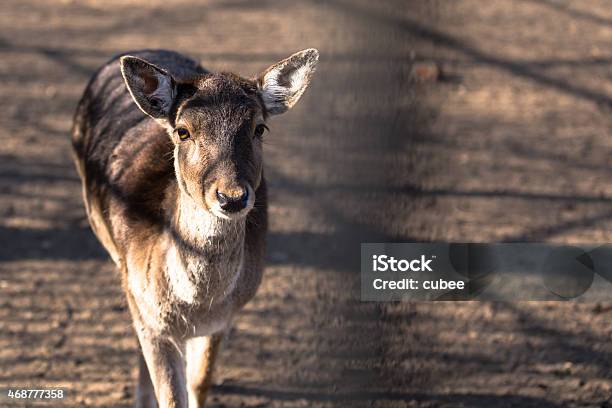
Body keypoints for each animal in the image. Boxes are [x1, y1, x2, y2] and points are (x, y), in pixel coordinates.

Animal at [71, 48, 318, 408]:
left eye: (259, 128)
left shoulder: (225, 318)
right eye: (183, 131)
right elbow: (172, 395)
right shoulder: (150, 315)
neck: (197, 304)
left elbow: (199, 381)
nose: (231, 197)